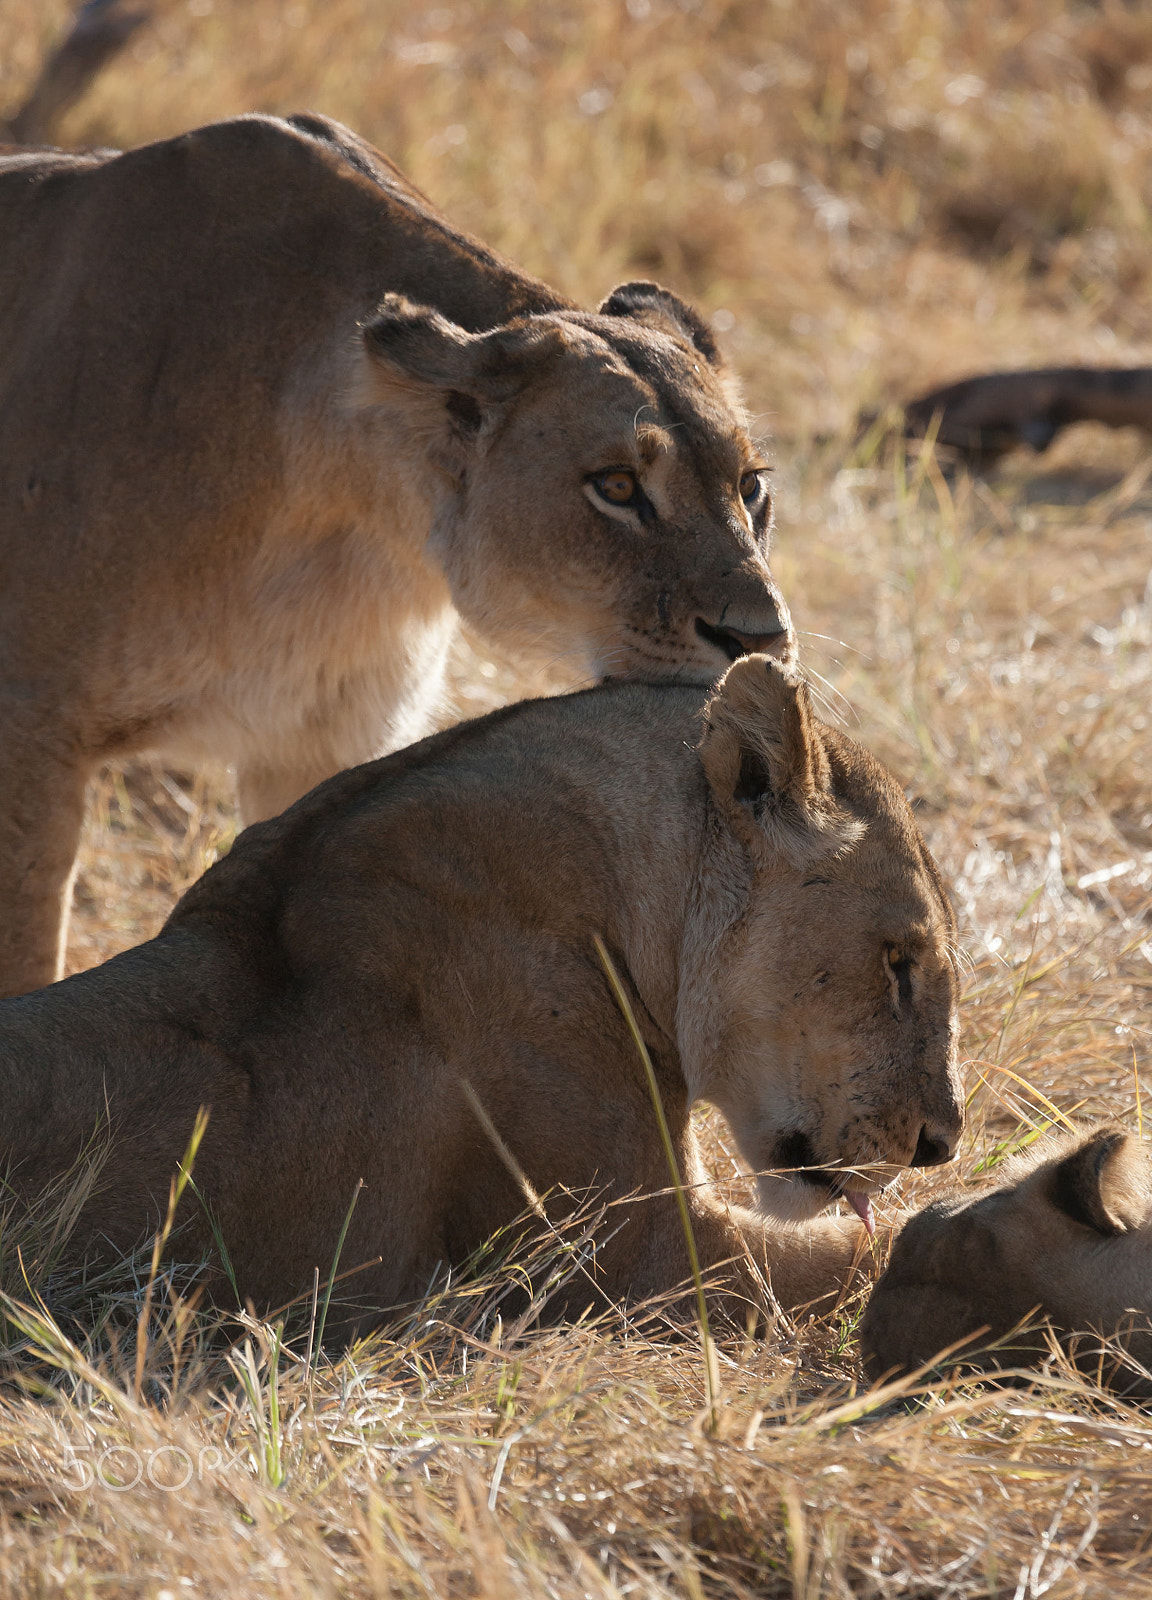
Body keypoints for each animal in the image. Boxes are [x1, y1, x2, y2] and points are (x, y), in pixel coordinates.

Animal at [0, 112, 793, 999]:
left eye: (751, 486)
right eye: (617, 486)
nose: (759, 638)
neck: (360, 522)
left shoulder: (320, 744)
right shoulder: (28, 734)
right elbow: (25, 964)